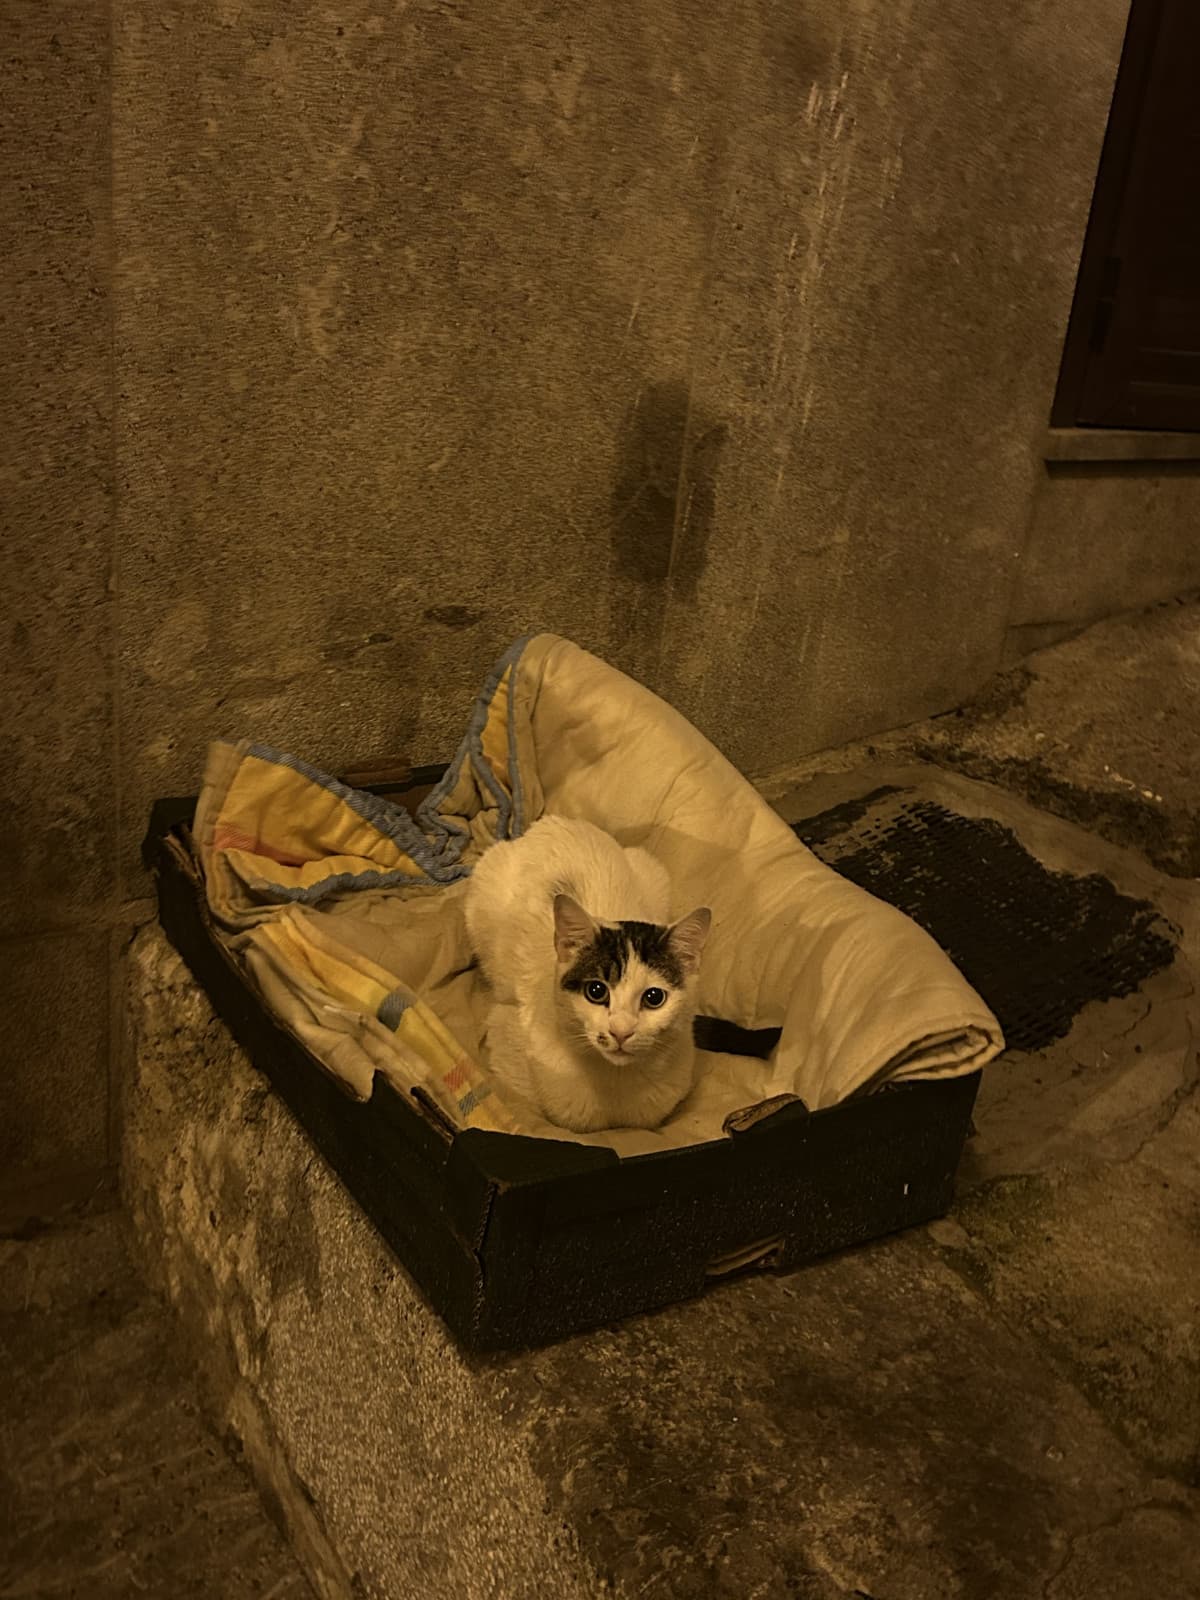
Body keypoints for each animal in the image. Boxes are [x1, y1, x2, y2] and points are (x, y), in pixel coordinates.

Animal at [467, 812, 713, 1139]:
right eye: (596, 991)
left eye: (653, 997)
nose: (621, 1031)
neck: (615, 1088)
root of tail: (553, 821)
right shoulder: (504, 1037)